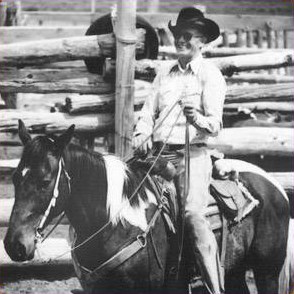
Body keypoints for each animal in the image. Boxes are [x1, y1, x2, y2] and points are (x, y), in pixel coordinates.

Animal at [3, 120, 290, 292]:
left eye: (45, 181)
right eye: (15, 177)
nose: (14, 245)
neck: (114, 223)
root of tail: (275, 186)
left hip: (267, 271)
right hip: (235, 271)